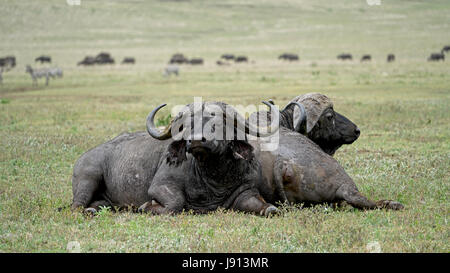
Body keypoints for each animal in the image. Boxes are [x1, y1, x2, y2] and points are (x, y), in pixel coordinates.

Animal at [71, 101, 280, 216]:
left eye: (218, 123)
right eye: (188, 125)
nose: (196, 140)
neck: (212, 178)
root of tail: (82, 158)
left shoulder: (246, 190)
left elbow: (268, 208)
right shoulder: (160, 186)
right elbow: (175, 203)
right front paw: (146, 206)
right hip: (88, 178)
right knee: (76, 206)